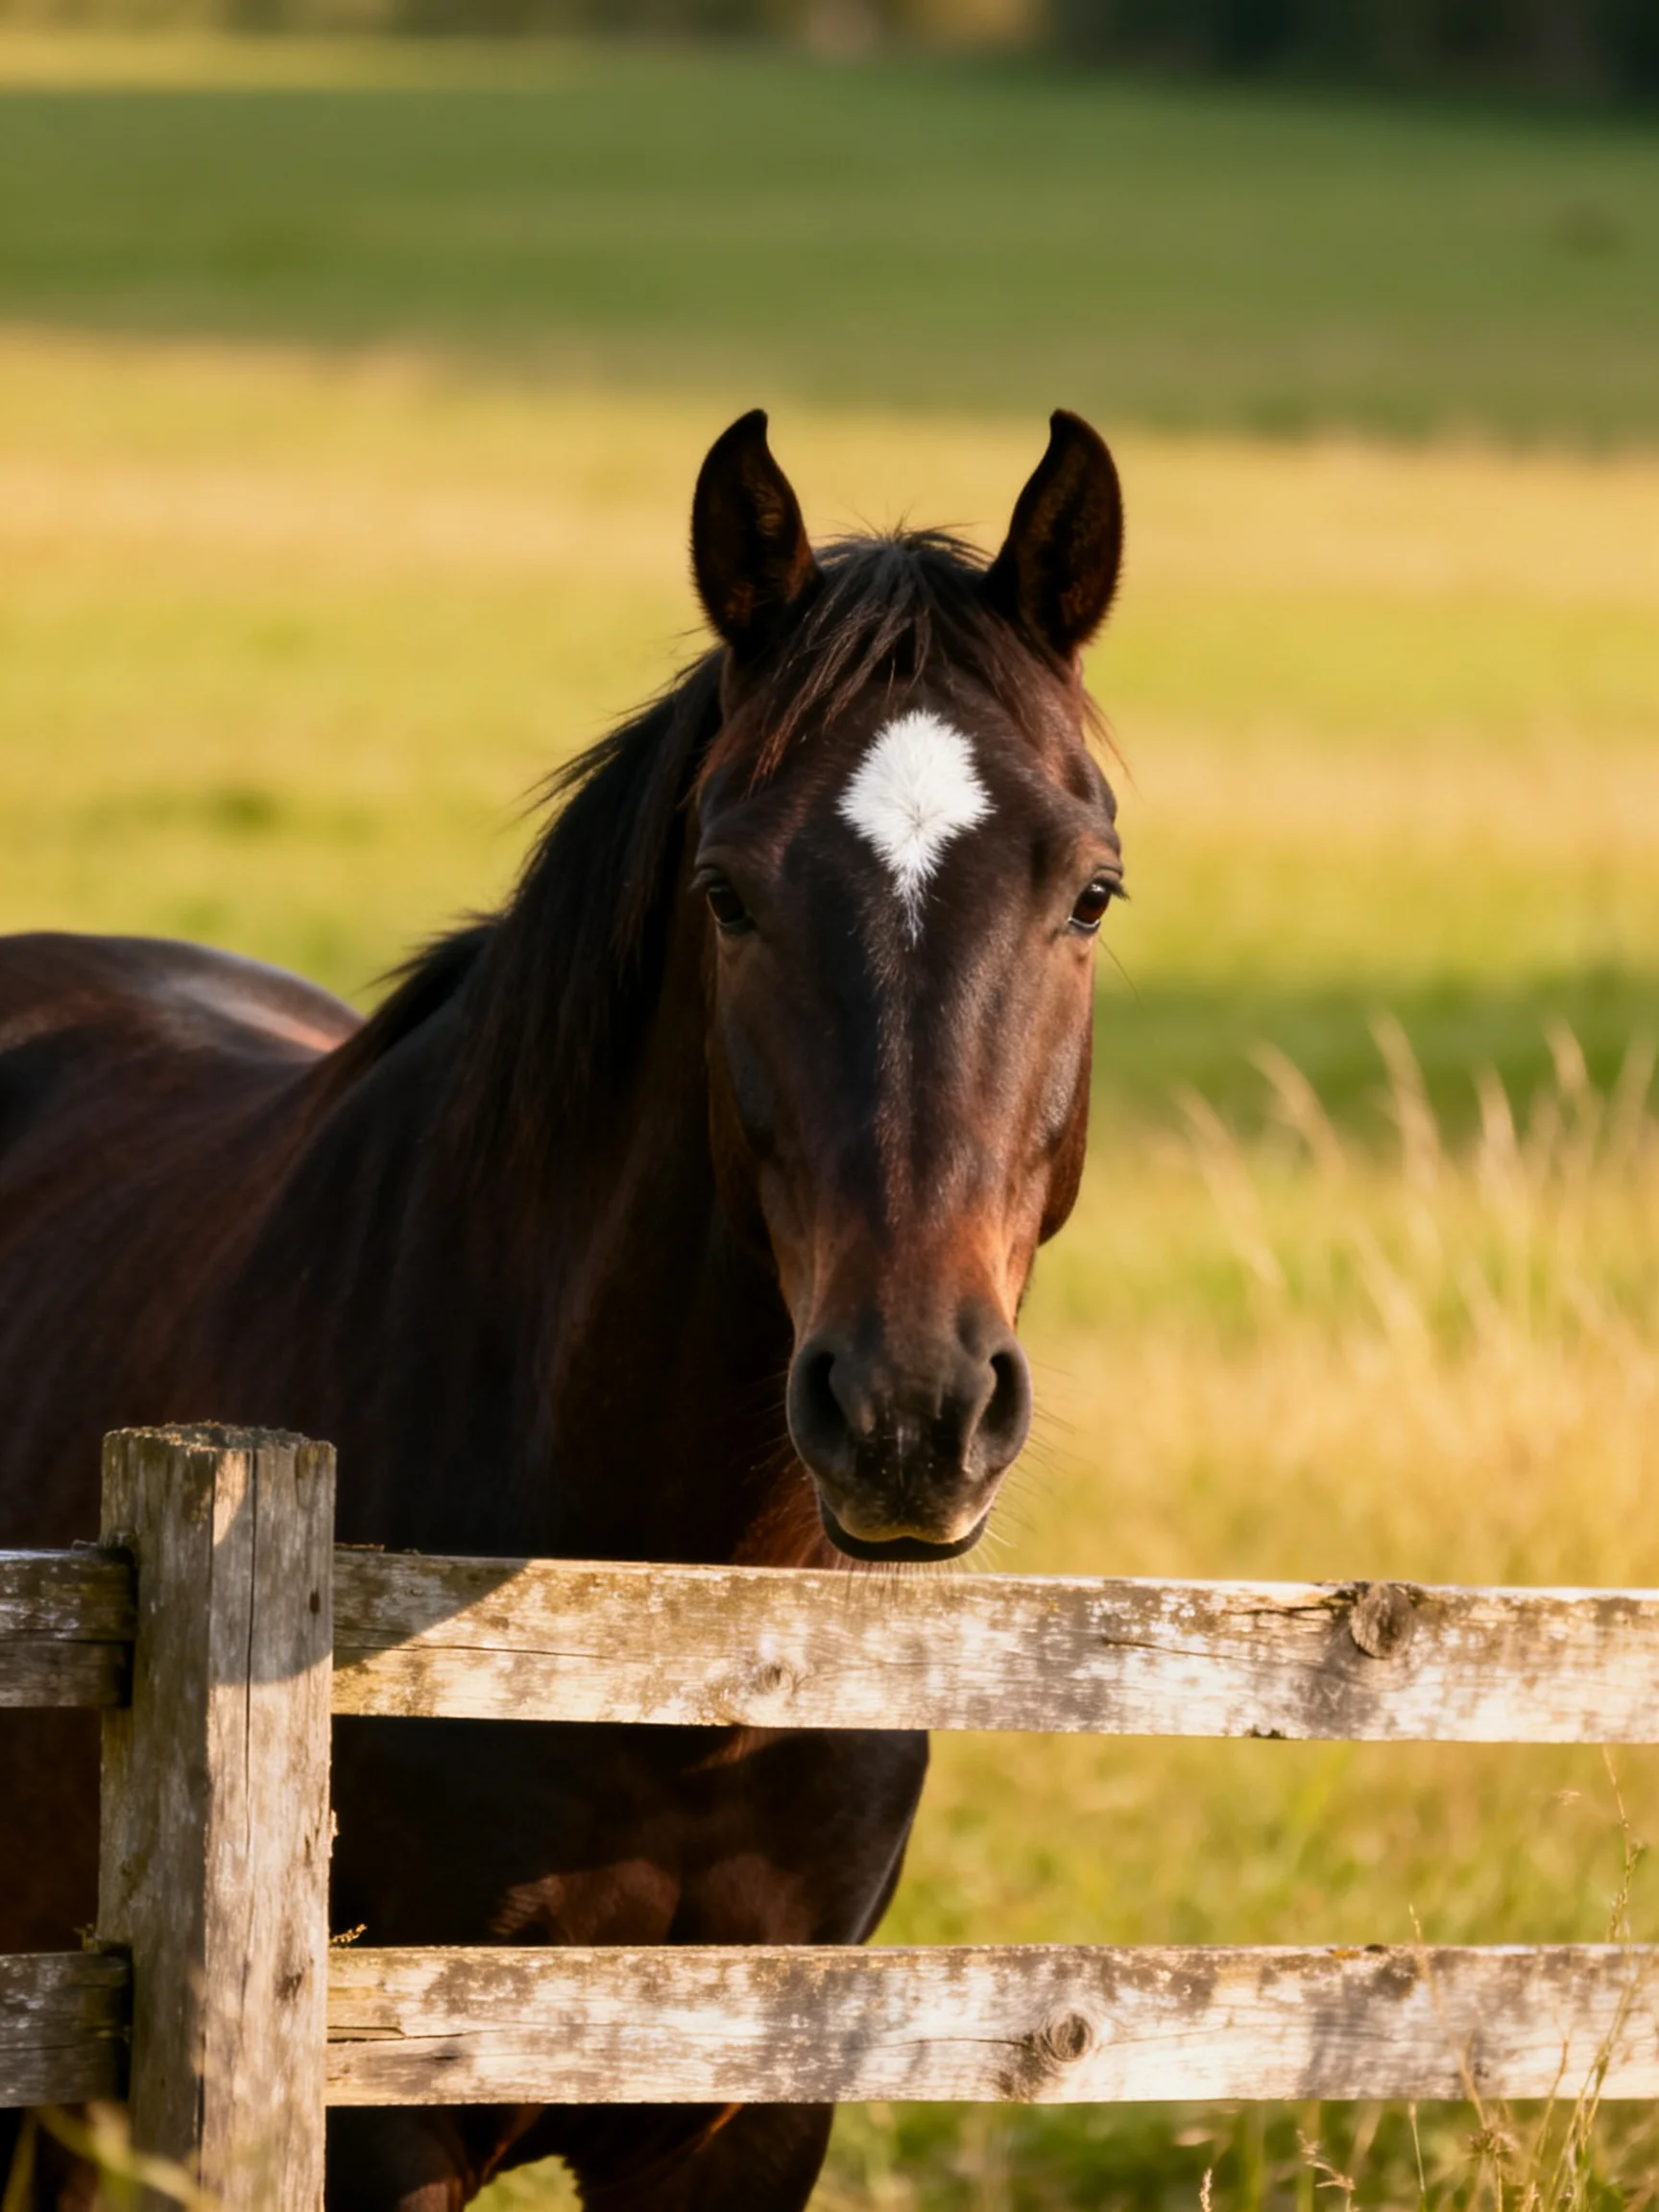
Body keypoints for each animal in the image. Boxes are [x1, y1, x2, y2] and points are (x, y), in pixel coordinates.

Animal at [0, 407, 1124, 2209]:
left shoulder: (744, 2121)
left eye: (1088, 890)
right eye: (727, 891)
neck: (676, 1667)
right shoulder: (382, 2120)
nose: (909, 1412)